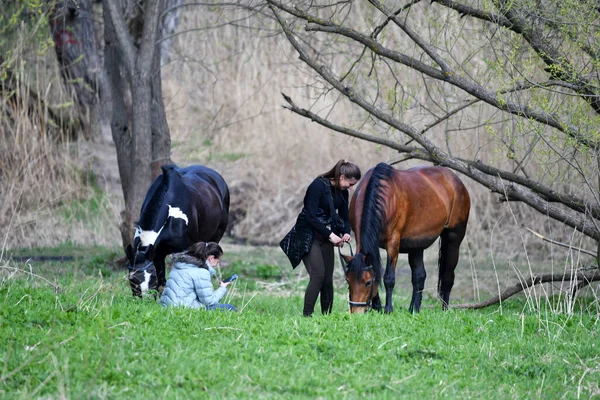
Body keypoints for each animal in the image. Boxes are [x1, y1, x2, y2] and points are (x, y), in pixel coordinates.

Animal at [125, 163, 231, 296]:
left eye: (152, 276)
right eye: (132, 278)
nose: (144, 298)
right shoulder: (157, 254)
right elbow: (162, 283)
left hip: (216, 236)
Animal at [342, 162, 468, 312]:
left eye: (367, 283)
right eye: (348, 281)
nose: (356, 312)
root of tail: (456, 180)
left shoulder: (393, 242)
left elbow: (389, 278)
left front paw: (388, 309)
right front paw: (377, 307)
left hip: (454, 238)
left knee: (448, 276)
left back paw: (444, 309)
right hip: (417, 244)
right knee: (419, 276)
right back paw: (414, 309)